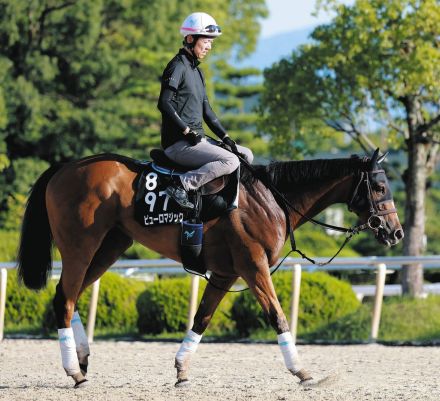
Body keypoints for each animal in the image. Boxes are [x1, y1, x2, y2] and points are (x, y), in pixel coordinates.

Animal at [16, 148, 402, 386]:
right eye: (379, 185)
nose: (395, 232)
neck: (269, 198)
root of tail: (66, 168)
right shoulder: (253, 267)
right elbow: (277, 316)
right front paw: (302, 371)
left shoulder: (225, 274)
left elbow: (201, 319)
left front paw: (182, 369)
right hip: (80, 247)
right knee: (64, 299)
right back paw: (74, 372)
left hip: (109, 247)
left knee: (70, 296)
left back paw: (81, 360)